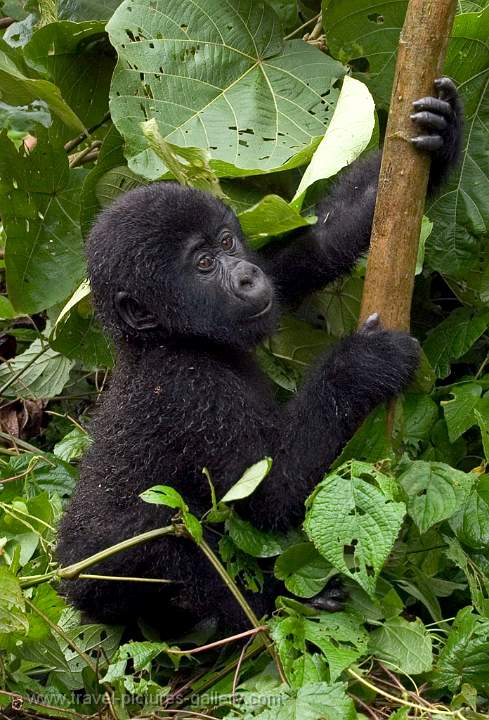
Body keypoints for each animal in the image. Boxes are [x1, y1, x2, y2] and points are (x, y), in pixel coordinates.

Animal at [57, 76, 462, 632]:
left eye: (229, 243)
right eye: (204, 264)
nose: (247, 277)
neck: (166, 340)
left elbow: (314, 247)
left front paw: (442, 135)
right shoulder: (192, 391)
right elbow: (270, 498)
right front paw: (360, 366)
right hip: (101, 583)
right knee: (164, 542)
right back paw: (277, 604)